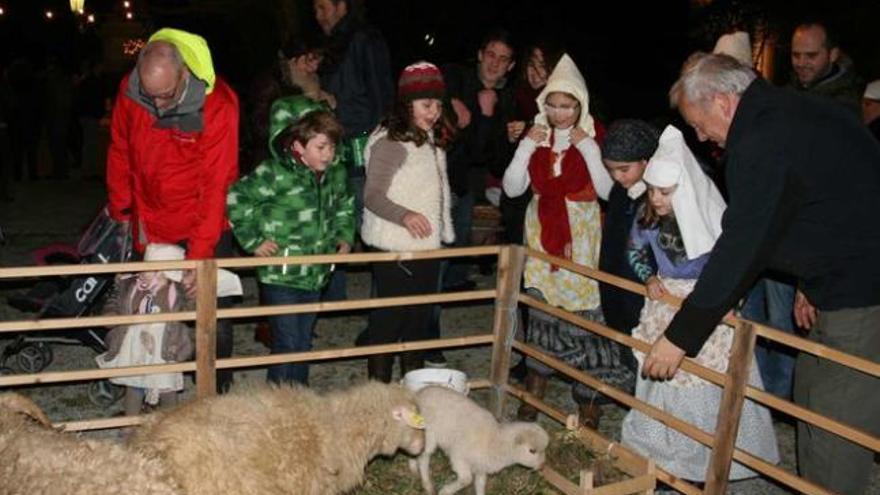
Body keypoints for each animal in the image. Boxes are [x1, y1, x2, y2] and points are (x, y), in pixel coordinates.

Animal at [408, 388, 548, 495]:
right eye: (532, 450)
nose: (542, 466)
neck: (495, 441)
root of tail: (418, 394)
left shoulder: (481, 467)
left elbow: (480, 485)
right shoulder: (459, 457)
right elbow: (466, 479)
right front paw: (445, 491)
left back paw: (413, 468)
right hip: (429, 435)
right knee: (424, 458)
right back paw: (427, 484)